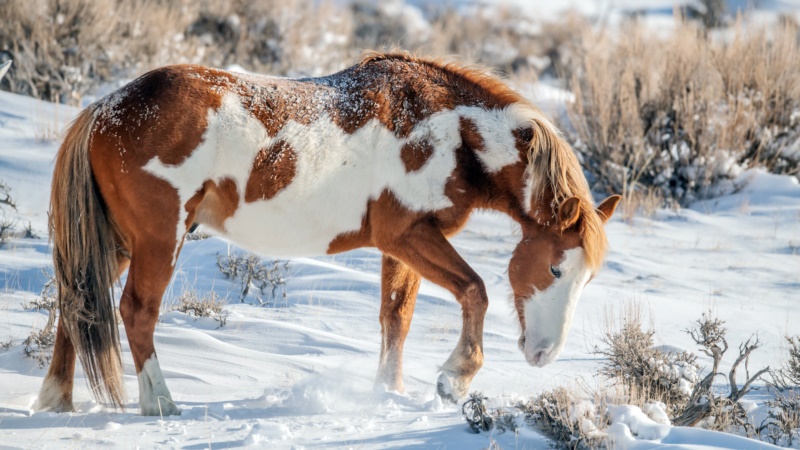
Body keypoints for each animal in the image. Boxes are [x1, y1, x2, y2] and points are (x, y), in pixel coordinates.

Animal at [36, 51, 620, 414]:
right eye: (556, 267)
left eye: (589, 279)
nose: (543, 354)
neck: (453, 133)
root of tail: (105, 109)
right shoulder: (408, 235)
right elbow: (474, 291)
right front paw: (454, 379)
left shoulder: (400, 247)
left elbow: (396, 319)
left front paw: (389, 392)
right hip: (159, 239)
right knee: (136, 311)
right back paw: (160, 403)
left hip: (117, 241)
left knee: (78, 302)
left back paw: (55, 399)